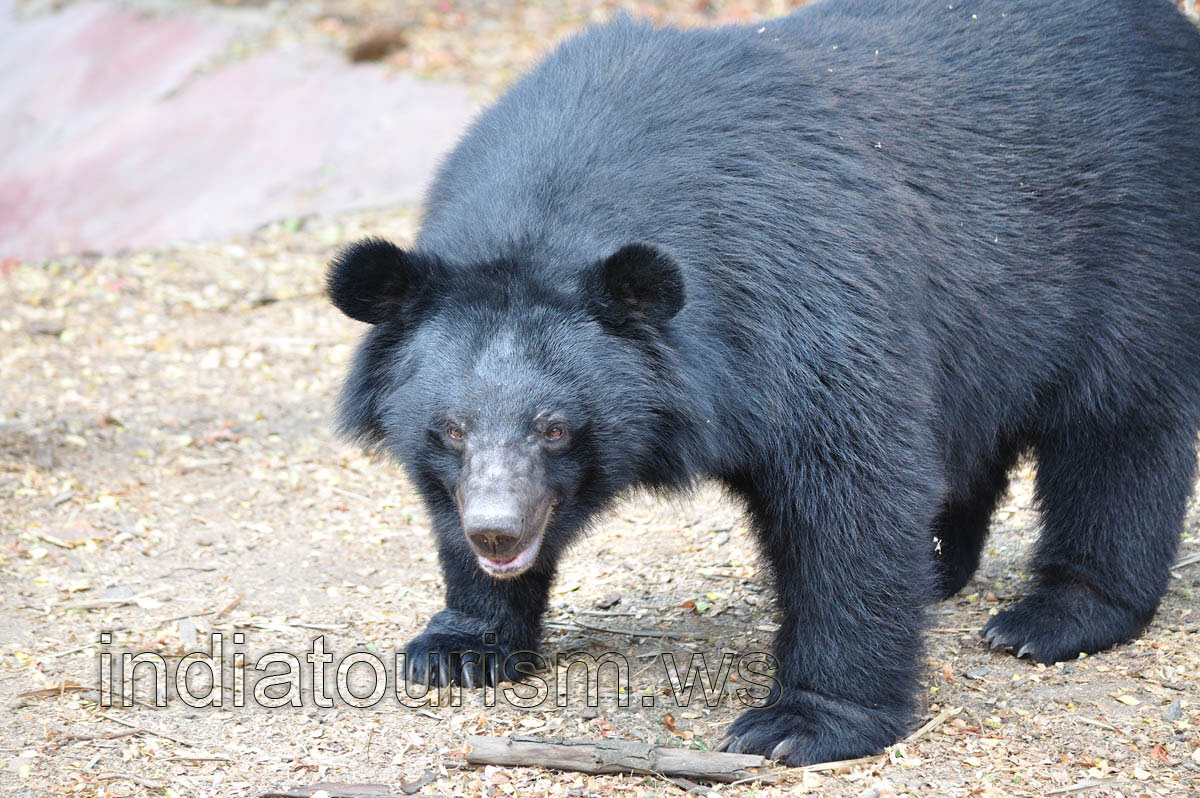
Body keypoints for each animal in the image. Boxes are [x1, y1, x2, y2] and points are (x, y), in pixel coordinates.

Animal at [326, 0, 1200, 765]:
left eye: (556, 427)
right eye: (450, 430)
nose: (498, 533)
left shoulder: (803, 298)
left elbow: (850, 493)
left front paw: (798, 726)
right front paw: (457, 646)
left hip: (1138, 248)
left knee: (1119, 433)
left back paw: (1053, 618)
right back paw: (943, 569)